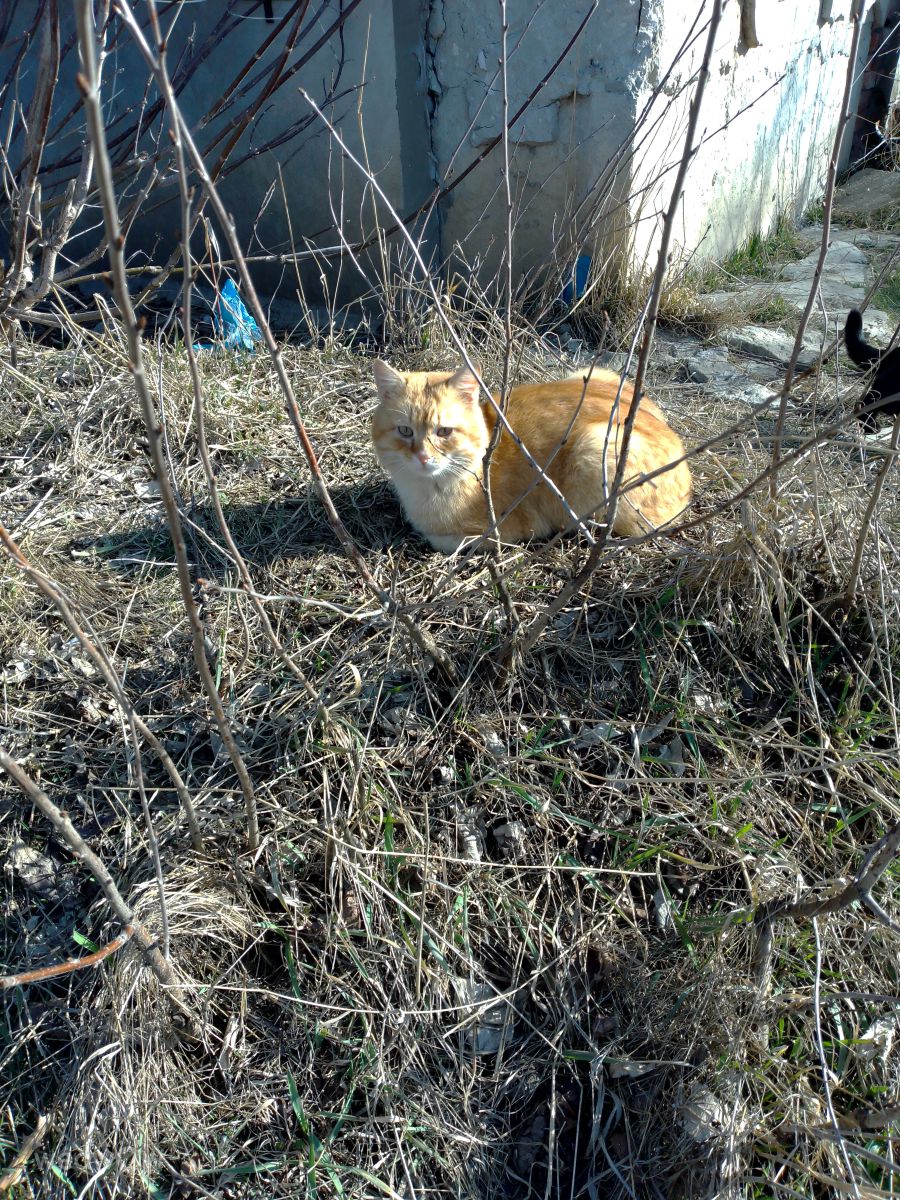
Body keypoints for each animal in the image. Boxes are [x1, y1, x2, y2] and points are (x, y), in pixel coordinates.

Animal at [369, 360, 696, 552]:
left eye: (444, 431)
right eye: (405, 431)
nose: (423, 457)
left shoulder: (497, 532)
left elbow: (440, 539)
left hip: (595, 448)